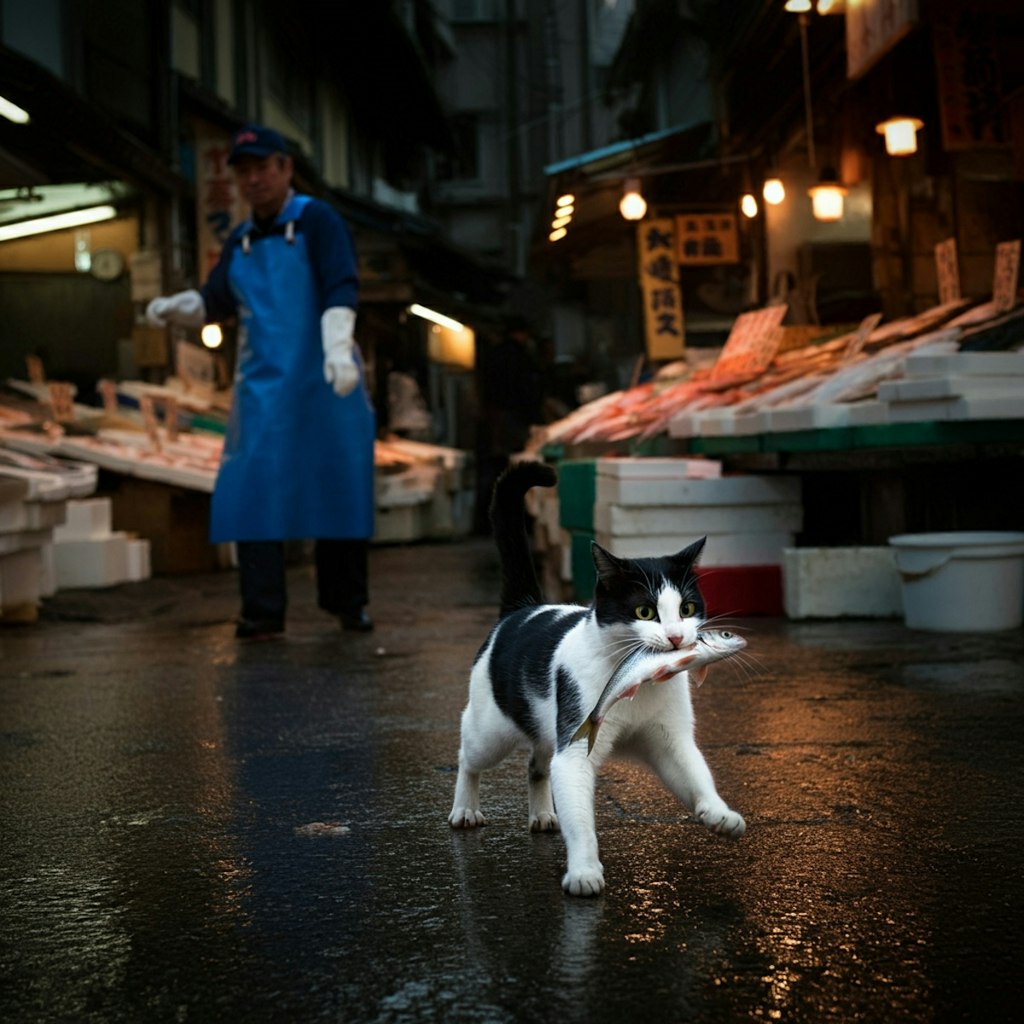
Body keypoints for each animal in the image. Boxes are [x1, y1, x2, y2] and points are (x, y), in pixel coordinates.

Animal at [448, 460, 745, 892]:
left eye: (687, 608)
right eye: (644, 611)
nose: (677, 637)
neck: (639, 684)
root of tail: (523, 608)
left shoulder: (669, 739)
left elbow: (694, 772)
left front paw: (717, 812)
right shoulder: (574, 748)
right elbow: (580, 818)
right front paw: (584, 870)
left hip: (544, 727)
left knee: (537, 765)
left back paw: (542, 814)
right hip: (491, 730)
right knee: (469, 755)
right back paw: (465, 808)